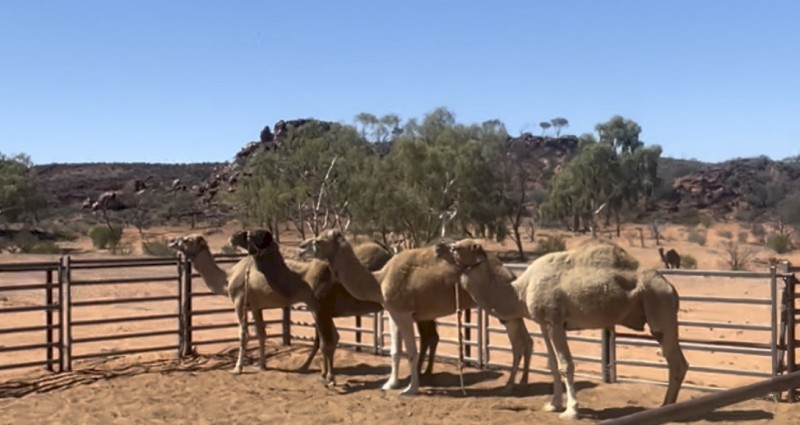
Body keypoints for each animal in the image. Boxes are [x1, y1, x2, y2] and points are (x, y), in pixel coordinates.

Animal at [246, 228, 533, 396]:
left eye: (320, 240)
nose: (302, 247)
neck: (379, 278)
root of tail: (510, 271)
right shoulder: (393, 312)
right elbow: (395, 351)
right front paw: (390, 384)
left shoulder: (403, 312)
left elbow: (410, 350)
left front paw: (410, 388)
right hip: (505, 309)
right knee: (525, 341)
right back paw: (518, 382)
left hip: (499, 307)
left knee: (518, 342)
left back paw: (513, 385)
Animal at [439, 238, 688, 420]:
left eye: (458, 247)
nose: (439, 246)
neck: (520, 291)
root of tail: (671, 287)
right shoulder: (544, 323)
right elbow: (552, 363)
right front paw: (553, 404)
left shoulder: (556, 320)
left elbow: (565, 364)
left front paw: (571, 410)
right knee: (679, 361)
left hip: (659, 307)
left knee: (676, 362)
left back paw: (665, 407)